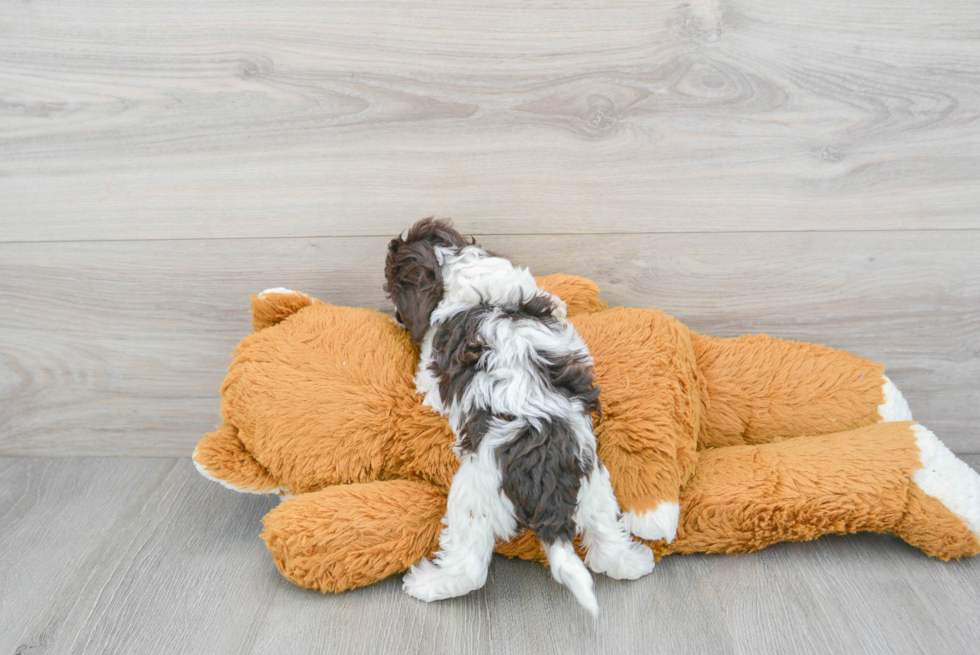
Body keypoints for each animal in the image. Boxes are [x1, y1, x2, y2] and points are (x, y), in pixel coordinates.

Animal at [386, 219, 656, 616]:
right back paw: (636, 561)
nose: (395, 317)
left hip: (475, 495)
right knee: (606, 544)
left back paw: (426, 584)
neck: (464, 270)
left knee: (469, 567)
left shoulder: (432, 376)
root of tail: (547, 480)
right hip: (595, 488)